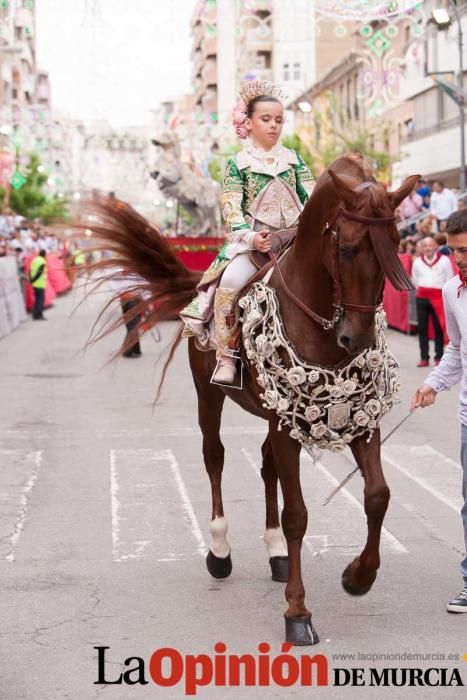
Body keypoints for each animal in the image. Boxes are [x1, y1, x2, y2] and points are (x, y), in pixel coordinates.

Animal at [88, 154, 420, 644]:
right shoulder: (289, 424)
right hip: (209, 397)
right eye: (346, 249)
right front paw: (297, 613)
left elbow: (378, 495)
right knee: (215, 457)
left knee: (265, 467)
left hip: (275, 415)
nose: (355, 339)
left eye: (395, 244)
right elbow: (297, 514)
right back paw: (219, 550)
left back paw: (276, 554)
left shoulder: (357, 416)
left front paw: (358, 576)